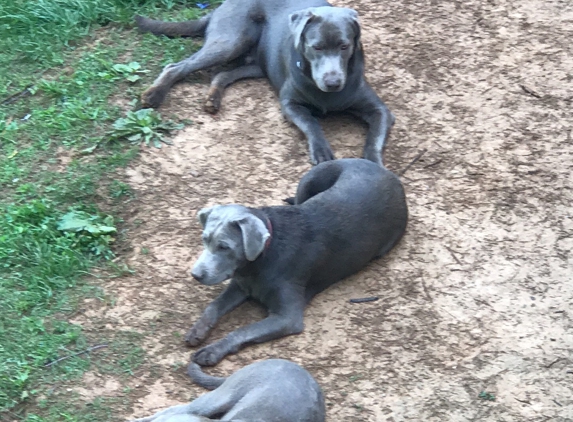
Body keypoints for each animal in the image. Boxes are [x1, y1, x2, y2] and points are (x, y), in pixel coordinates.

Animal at [134, 0, 394, 165]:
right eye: (316, 47)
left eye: (344, 46)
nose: (333, 83)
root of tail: (223, 5)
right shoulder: (290, 104)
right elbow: (311, 123)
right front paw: (321, 150)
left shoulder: (380, 110)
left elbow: (374, 138)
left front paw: (373, 162)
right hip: (230, 42)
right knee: (176, 66)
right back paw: (153, 94)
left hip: (258, 65)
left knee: (221, 75)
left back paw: (212, 99)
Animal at [185, 158, 404, 366]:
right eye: (204, 239)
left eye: (224, 247)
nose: (195, 275)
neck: (260, 260)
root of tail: (385, 171)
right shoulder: (240, 285)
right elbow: (214, 305)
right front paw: (197, 330)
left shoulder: (287, 317)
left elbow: (243, 330)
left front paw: (212, 351)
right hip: (307, 182)